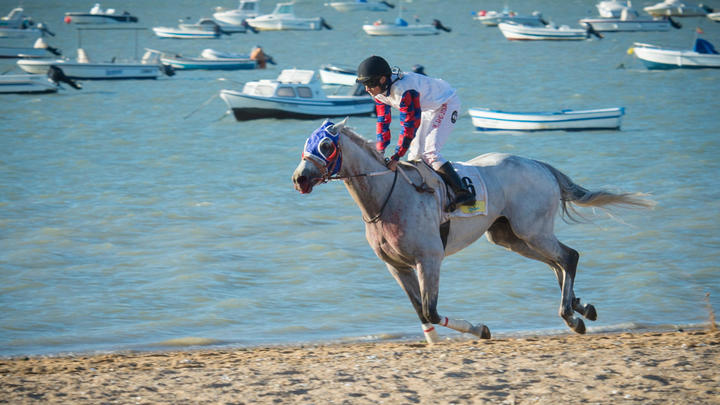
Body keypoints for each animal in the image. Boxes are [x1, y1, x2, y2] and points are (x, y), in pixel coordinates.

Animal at [292, 118, 652, 342]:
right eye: (307, 143)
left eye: (326, 146)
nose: (299, 178)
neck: (387, 197)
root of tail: (539, 165)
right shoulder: (395, 266)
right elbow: (419, 311)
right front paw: (433, 341)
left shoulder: (429, 259)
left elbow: (431, 310)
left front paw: (480, 329)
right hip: (511, 237)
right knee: (558, 263)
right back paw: (581, 309)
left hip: (532, 231)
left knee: (569, 256)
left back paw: (570, 314)